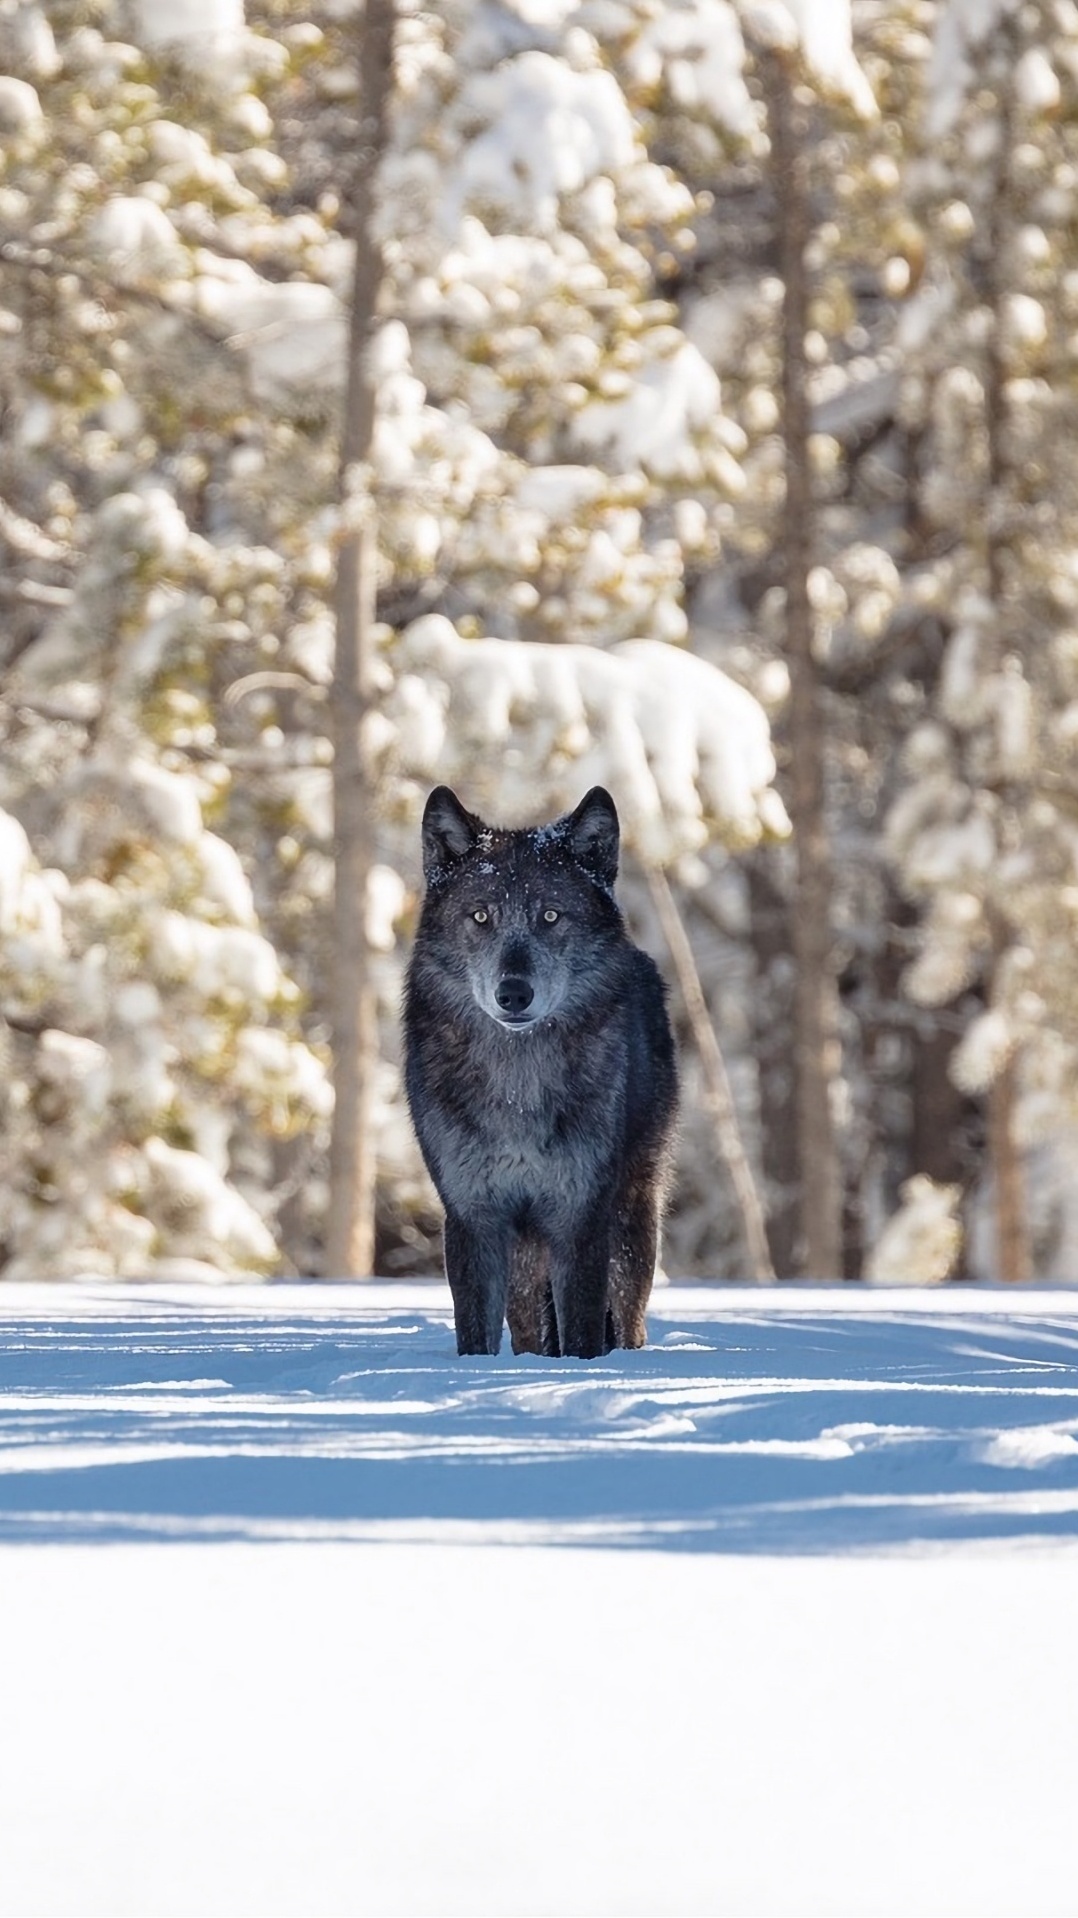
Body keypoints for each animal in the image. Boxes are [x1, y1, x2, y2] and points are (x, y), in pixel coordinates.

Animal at [400, 782, 671, 1365]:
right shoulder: (474, 1216)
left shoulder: (580, 1216)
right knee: (528, 1330)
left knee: (629, 1320)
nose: (513, 993)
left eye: (550, 916)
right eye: (481, 917)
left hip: (631, 1221)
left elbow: (583, 1334)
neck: (517, 1088)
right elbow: (474, 1335)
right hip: (525, 1257)